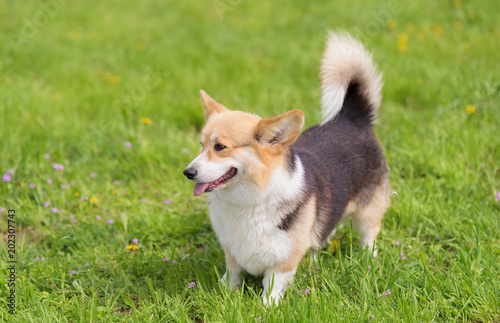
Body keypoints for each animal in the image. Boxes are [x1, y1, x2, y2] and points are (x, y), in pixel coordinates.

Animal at [184, 33, 390, 306]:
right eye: (201, 145)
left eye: (220, 147)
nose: (187, 172)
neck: (249, 199)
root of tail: (352, 117)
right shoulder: (232, 250)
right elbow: (233, 274)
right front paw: (226, 294)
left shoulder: (282, 262)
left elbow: (272, 287)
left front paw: (265, 309)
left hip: (367, 211)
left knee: (369, 236)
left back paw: (368, 261)